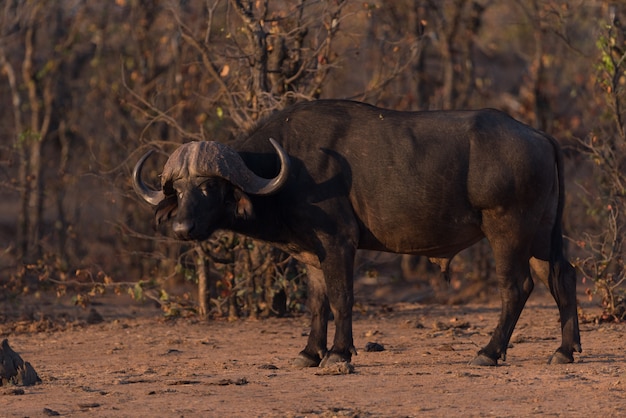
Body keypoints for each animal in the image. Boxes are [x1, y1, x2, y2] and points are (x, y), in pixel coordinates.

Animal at [132, 99, 580, 368]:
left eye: (209, 187)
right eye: (178, 190)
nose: (182, 228)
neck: (288, 168)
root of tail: (539, 135)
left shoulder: (338, 244)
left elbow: (343, 298)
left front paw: (339, 354)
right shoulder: (311, 254)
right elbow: (317, 304)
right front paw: (309, 353)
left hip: (507, 231)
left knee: (517, 288)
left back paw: (488, 353)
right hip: (541, 236)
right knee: (563, 277)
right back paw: (565, 350)